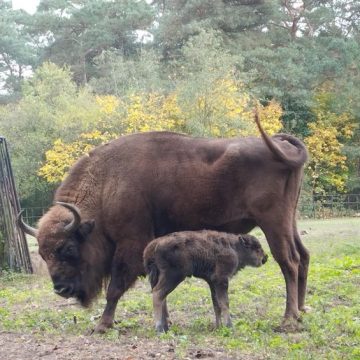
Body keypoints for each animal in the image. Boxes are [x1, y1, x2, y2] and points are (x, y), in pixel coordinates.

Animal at [17, 114, 310, 334]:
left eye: (68, 248)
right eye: (42, 252)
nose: (61, 289)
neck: (107, 184)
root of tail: (281, 146)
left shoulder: (131, 244)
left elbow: (115, 287)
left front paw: (102, 325)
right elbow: (157, 288)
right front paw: (164, 322)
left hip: (273, 222)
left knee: (289, 261)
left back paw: (288, 319)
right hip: (289, 220)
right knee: (304, 256)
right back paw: (302, 311)